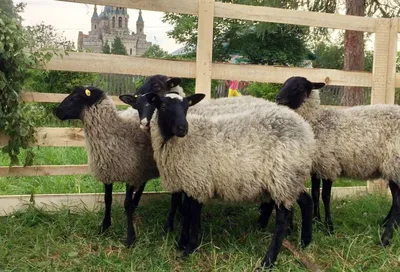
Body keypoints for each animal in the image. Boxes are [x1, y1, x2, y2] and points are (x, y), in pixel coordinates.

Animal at [142, 92, 318, 270]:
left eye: (186, 107)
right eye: (163, 106)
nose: (183, 128)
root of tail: (306, 130)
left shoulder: (199, 181)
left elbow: (192, 214)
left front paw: (189, 247)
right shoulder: (187, 182)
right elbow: (186, 211)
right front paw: (182, 243)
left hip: (283, 177)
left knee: (282, 219)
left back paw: (268, 260)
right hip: (286, 180)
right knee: (305, 201)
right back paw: (303, 240)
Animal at [276, 76, 400, 246]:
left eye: (299, 87)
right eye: (284, 83)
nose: (278, 99)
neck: (316, 120)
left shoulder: (329, 164)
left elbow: (325, 196)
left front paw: (329, 227)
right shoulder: (317, 167)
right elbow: (315, 193)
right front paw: (316, 221)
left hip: (394, 163)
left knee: (398, 201)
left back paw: (386, 238)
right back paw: (386, 224)